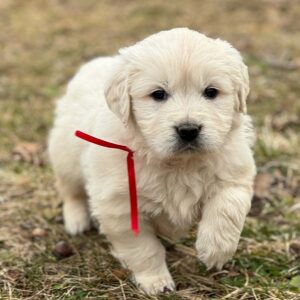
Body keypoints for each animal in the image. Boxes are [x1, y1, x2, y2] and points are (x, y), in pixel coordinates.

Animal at [48, 27, 255, 294]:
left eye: (211, 92)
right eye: (158, 94)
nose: (188, 130)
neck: (178, 164)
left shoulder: (234, 172)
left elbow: (227, 208)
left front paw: (214, 250)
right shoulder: (121, 207)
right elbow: (144, 249)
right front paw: (156, 281)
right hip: (65, 156)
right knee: (70, 190)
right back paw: (76, 220)